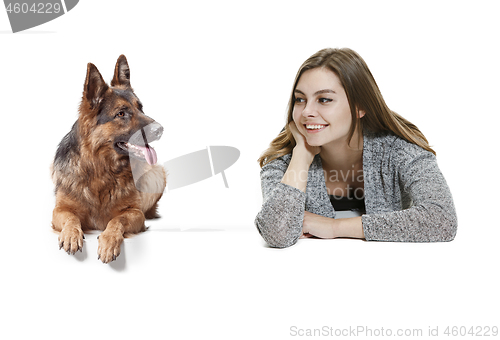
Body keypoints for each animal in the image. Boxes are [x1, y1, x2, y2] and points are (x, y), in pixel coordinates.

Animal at [52, 55, 166, 262]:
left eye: (141, 108)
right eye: (121, 113)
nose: (160, 129)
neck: (101, 169)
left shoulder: (135, 213)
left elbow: (116, 220)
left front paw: (108, 241)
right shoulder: (60, 210)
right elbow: (71, 218)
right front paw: (71, 235)